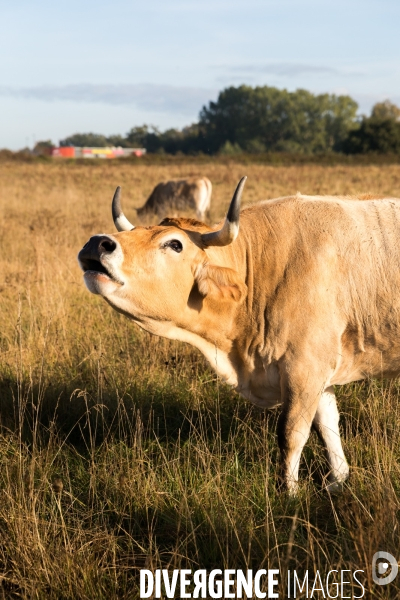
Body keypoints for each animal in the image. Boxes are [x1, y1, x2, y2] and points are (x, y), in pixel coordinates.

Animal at [79, 179, 400, 496]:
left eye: (174, 243)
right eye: (132, 233)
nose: (97, 243)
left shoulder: (304, 368)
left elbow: (292, 434)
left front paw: (289, 493)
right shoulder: (318, 371)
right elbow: (328, 426)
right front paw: (337, 481)